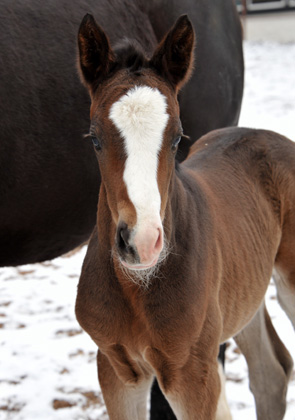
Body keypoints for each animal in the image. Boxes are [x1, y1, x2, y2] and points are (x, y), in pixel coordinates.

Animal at [75, 13, 294, 420]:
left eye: (177, 137)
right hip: (244, 290)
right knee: (270, 373)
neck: (137, 286)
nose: (142, 243)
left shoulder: (192, 375)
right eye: (95, 139)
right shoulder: (115, 367)